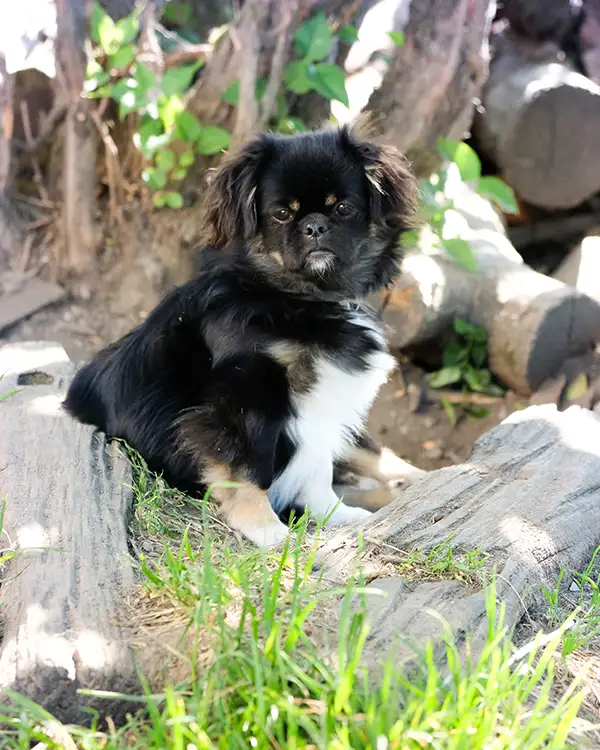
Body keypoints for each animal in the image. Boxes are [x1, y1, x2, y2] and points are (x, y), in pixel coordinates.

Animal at [64, 123, 422, 548]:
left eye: (343, 208)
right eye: (281, 214)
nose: (314, 226)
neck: (300, 300)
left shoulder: (319, 405)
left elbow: (317, 470)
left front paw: (336, 516)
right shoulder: (244, 396)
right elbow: (246, 467)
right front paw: (267, 529)